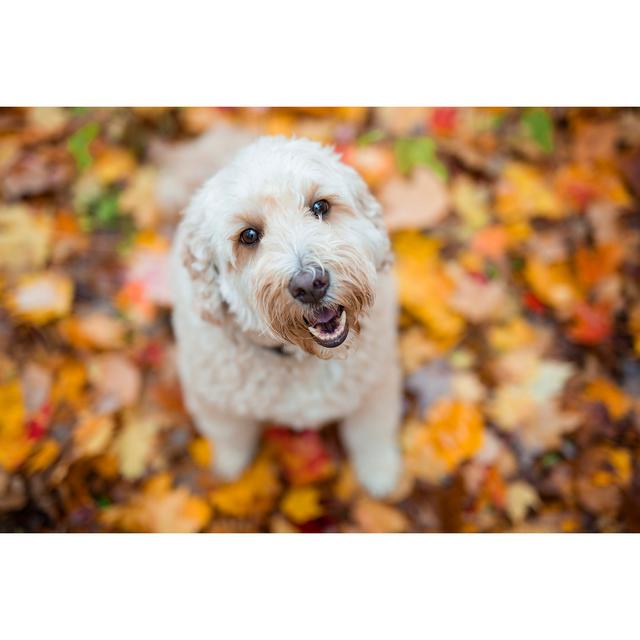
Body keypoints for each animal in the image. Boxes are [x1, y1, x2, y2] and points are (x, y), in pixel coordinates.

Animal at [170, 134, 400, 496]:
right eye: (249, 235)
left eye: (320, 207)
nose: (310, 284)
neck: (301, 359)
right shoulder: (213, 401)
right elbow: (230, 436)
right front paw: (230, 468)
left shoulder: (377, 385)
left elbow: (370, 434)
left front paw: (379, 473)